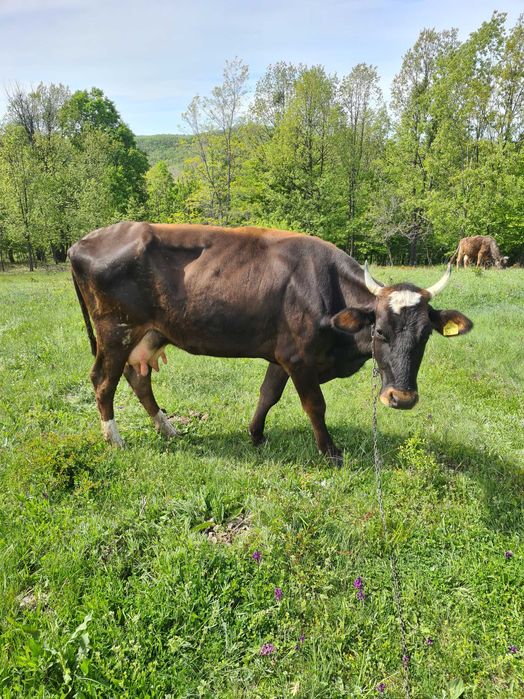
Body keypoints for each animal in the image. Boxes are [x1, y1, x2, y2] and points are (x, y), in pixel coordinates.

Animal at [68, 222, 473, 463]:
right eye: (379, 332)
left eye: (424, 335)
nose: (401, 398)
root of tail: (82, 242)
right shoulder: (299, 358)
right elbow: (315, 406)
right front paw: (329, 451)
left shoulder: (281, 356)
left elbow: (268, 395)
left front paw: (256, 435)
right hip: (115, 332)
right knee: (103, 381)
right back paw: (115, 439)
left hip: (149, 333)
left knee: (138, 379)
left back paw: (167, 428)